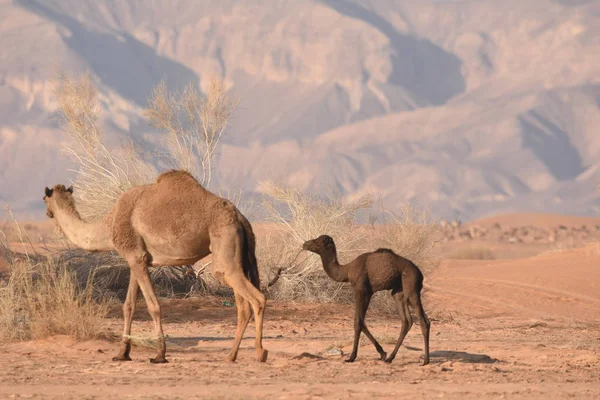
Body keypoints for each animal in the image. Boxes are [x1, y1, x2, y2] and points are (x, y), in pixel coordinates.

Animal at [42, 170, 268, 364]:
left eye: (45, 198)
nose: (48, 213)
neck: (109, 224)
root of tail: (240, 217)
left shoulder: (135, 256)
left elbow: (153, 306)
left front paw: (160, 355)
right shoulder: (137, 259)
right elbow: (129, 306)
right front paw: (122, 353)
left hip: (224, 249)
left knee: (256, 298)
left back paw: (260, 352)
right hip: (237, 257)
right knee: (242, 305)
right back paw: (231, 355)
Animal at [302, 236, 428, 364]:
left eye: (318, 241)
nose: (305, 244)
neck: (347, 270)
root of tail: (420, 273)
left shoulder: (360, 289)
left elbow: (357, 322)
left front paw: (352, 357)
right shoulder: (369, 292)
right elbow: (362, 322)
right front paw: (382, 353)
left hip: (411, 287)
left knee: (423, 321)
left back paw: (425, 361)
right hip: (398, 292)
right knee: (407, 320)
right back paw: (390, 358)